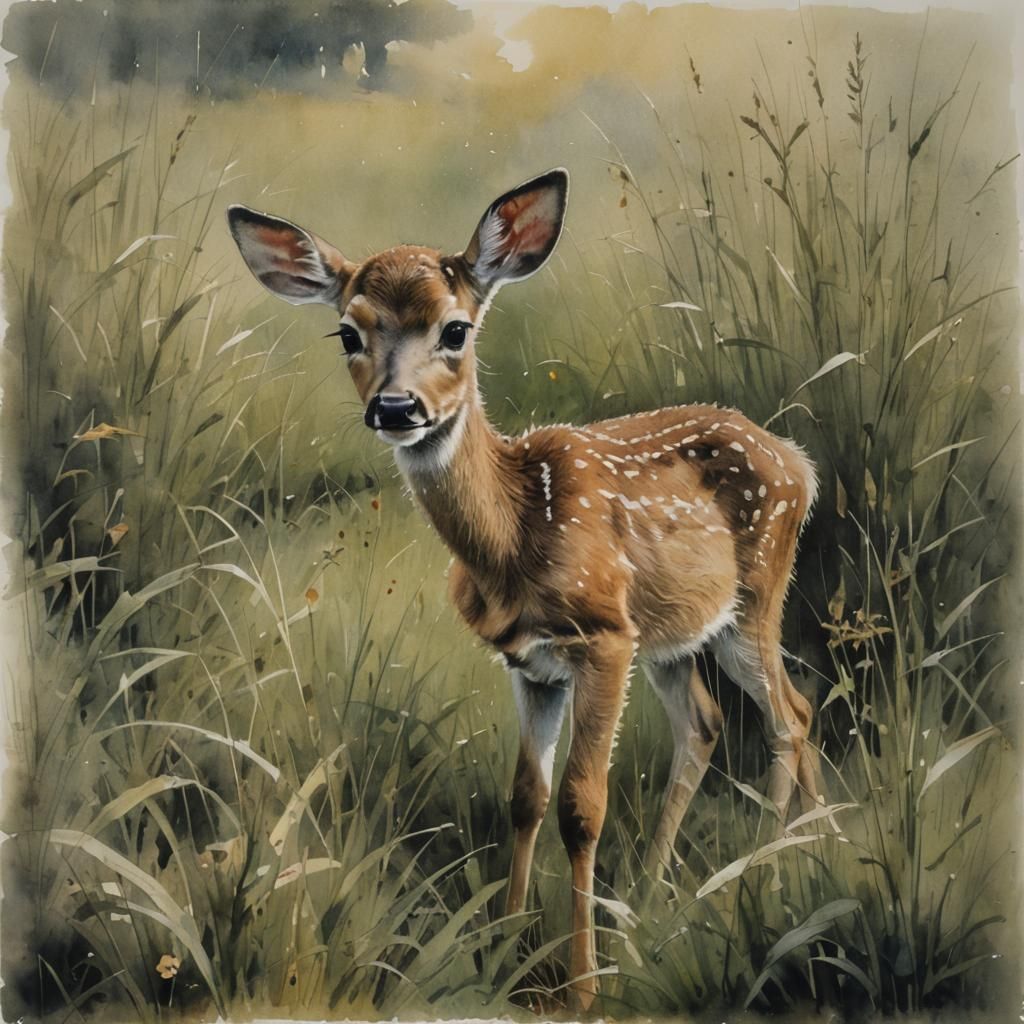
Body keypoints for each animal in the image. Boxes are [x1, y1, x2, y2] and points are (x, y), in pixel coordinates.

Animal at [227, 168, 820, 1010]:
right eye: (348, 333)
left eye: (455, 330)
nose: (397, 408)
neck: (512, 535)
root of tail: (798, 461)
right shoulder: (530, 662)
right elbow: (524, 798)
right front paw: (502, 953)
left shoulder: (603, 638)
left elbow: (580, 806)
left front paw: (582, 987)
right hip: (675, 635)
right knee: (714, 723)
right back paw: (672, 888)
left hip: (755, 595)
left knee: (787, 714)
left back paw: (772, 869)